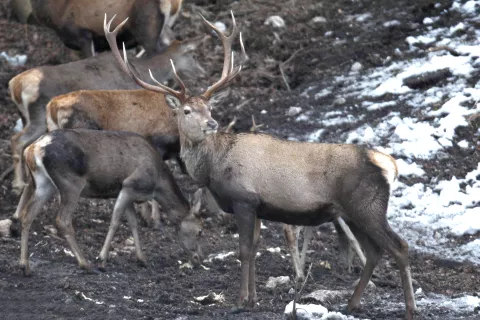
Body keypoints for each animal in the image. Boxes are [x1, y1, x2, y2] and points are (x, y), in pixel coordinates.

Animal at [7, 30, 206, 195]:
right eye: (193, 55)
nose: (203, 73)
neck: (141, 71)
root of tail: (15, 85)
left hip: (29, 118)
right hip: (38, 116)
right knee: (18, 140)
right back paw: (18, 185)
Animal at [15, 128, 202, 276]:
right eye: (200, 231)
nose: (199, 259)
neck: (157, 184)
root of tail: (32, 149)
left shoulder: (127, 192)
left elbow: (133, 223)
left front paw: (142, 258)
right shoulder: (130, 185)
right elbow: (115, 221)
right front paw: (102, 259)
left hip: (43, 183)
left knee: (27, 215)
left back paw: (25, 265)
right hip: (71, 183)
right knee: (63, 220)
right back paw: (85, 263)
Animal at [104, 11, 416, 318]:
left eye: (210, 108)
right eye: (187, 110)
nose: (211, 123)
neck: (215, 166)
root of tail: (389, 165)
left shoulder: (243, 199)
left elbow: (243, 250)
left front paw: (241, 300)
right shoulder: (258, 207)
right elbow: (254, 249)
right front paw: (253, 299)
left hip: (367, 205)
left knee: (400, 247)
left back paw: (410, 308)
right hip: (353, 212)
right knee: (375, 251)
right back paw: (352, 303)